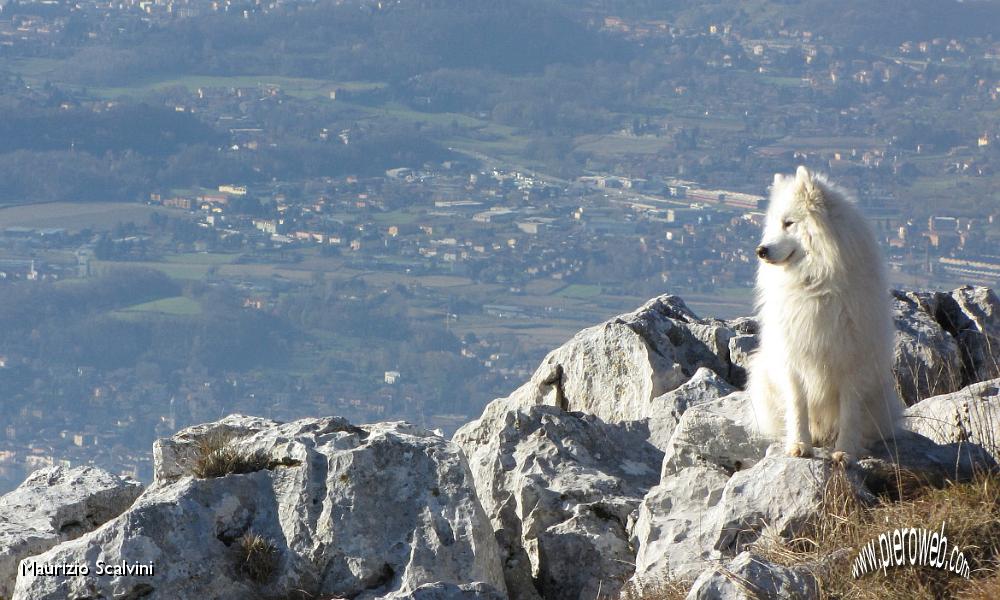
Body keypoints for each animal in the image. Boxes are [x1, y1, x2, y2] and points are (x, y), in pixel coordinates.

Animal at [748, 166, 904, 462]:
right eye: (773, 224)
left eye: (789, 223)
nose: (761, 250)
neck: (815, 284)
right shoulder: (793, 357)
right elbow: (798, 406)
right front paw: (799, 445)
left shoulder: (851, 360)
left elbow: (849, 412)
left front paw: (845, 451)